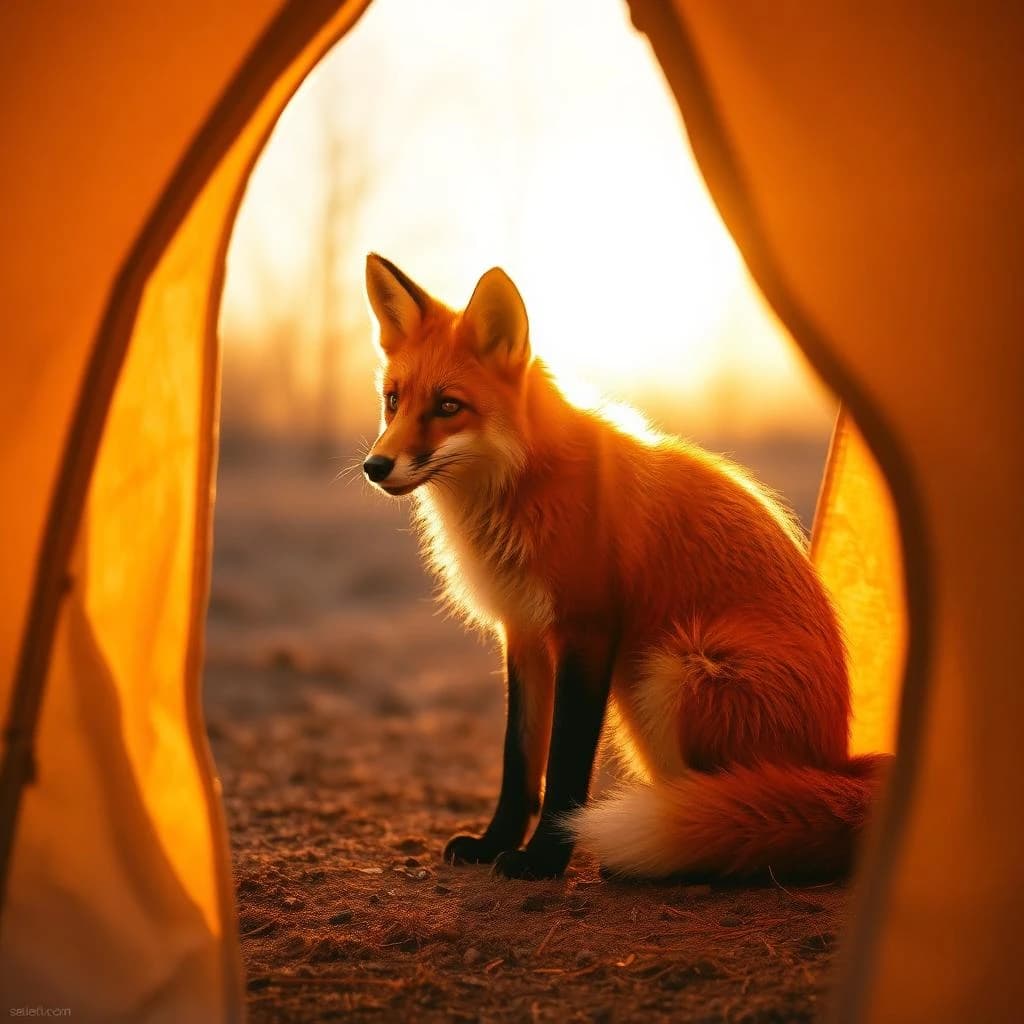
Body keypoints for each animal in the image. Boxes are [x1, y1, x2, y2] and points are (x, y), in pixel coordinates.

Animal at [361, 252, 889, 882]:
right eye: (394, 400)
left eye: (447, 406)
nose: (375, 466)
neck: (524, 488)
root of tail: (836, 763)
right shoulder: (524, 632)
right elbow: (519, 760)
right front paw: (494, 844)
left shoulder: (588, 629)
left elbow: (566, 765)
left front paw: (543, 860)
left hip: (675, 669)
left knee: (737, 802)